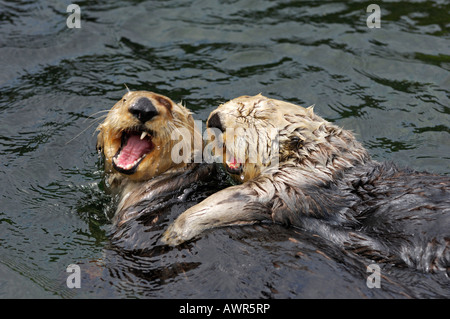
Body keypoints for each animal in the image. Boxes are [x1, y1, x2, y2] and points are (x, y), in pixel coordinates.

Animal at [163, 95, 450, 276]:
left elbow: (239, 198)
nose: (215, 120)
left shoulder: (292, 181)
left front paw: (175, 231)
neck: (325, 158)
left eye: (254, 118)